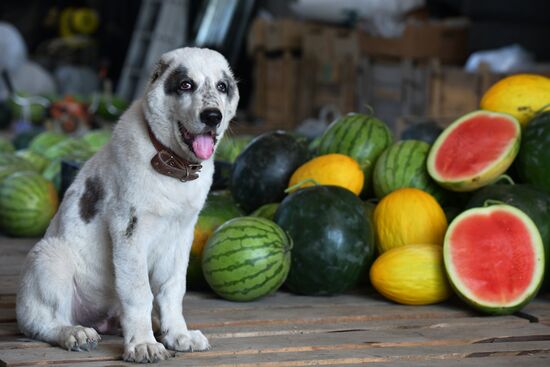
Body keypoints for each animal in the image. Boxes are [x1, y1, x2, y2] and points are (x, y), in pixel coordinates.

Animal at [15, 47, 238, 364]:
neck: (171, 162)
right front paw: (143, 344)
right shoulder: (129, 231)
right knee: (41, 322)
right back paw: (73, 333)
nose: (212, 116)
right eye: (185, 85)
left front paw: (177, 334)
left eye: (222, 87)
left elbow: (172, 289)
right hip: (49, 256)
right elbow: (139, 292)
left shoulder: (181, 235)